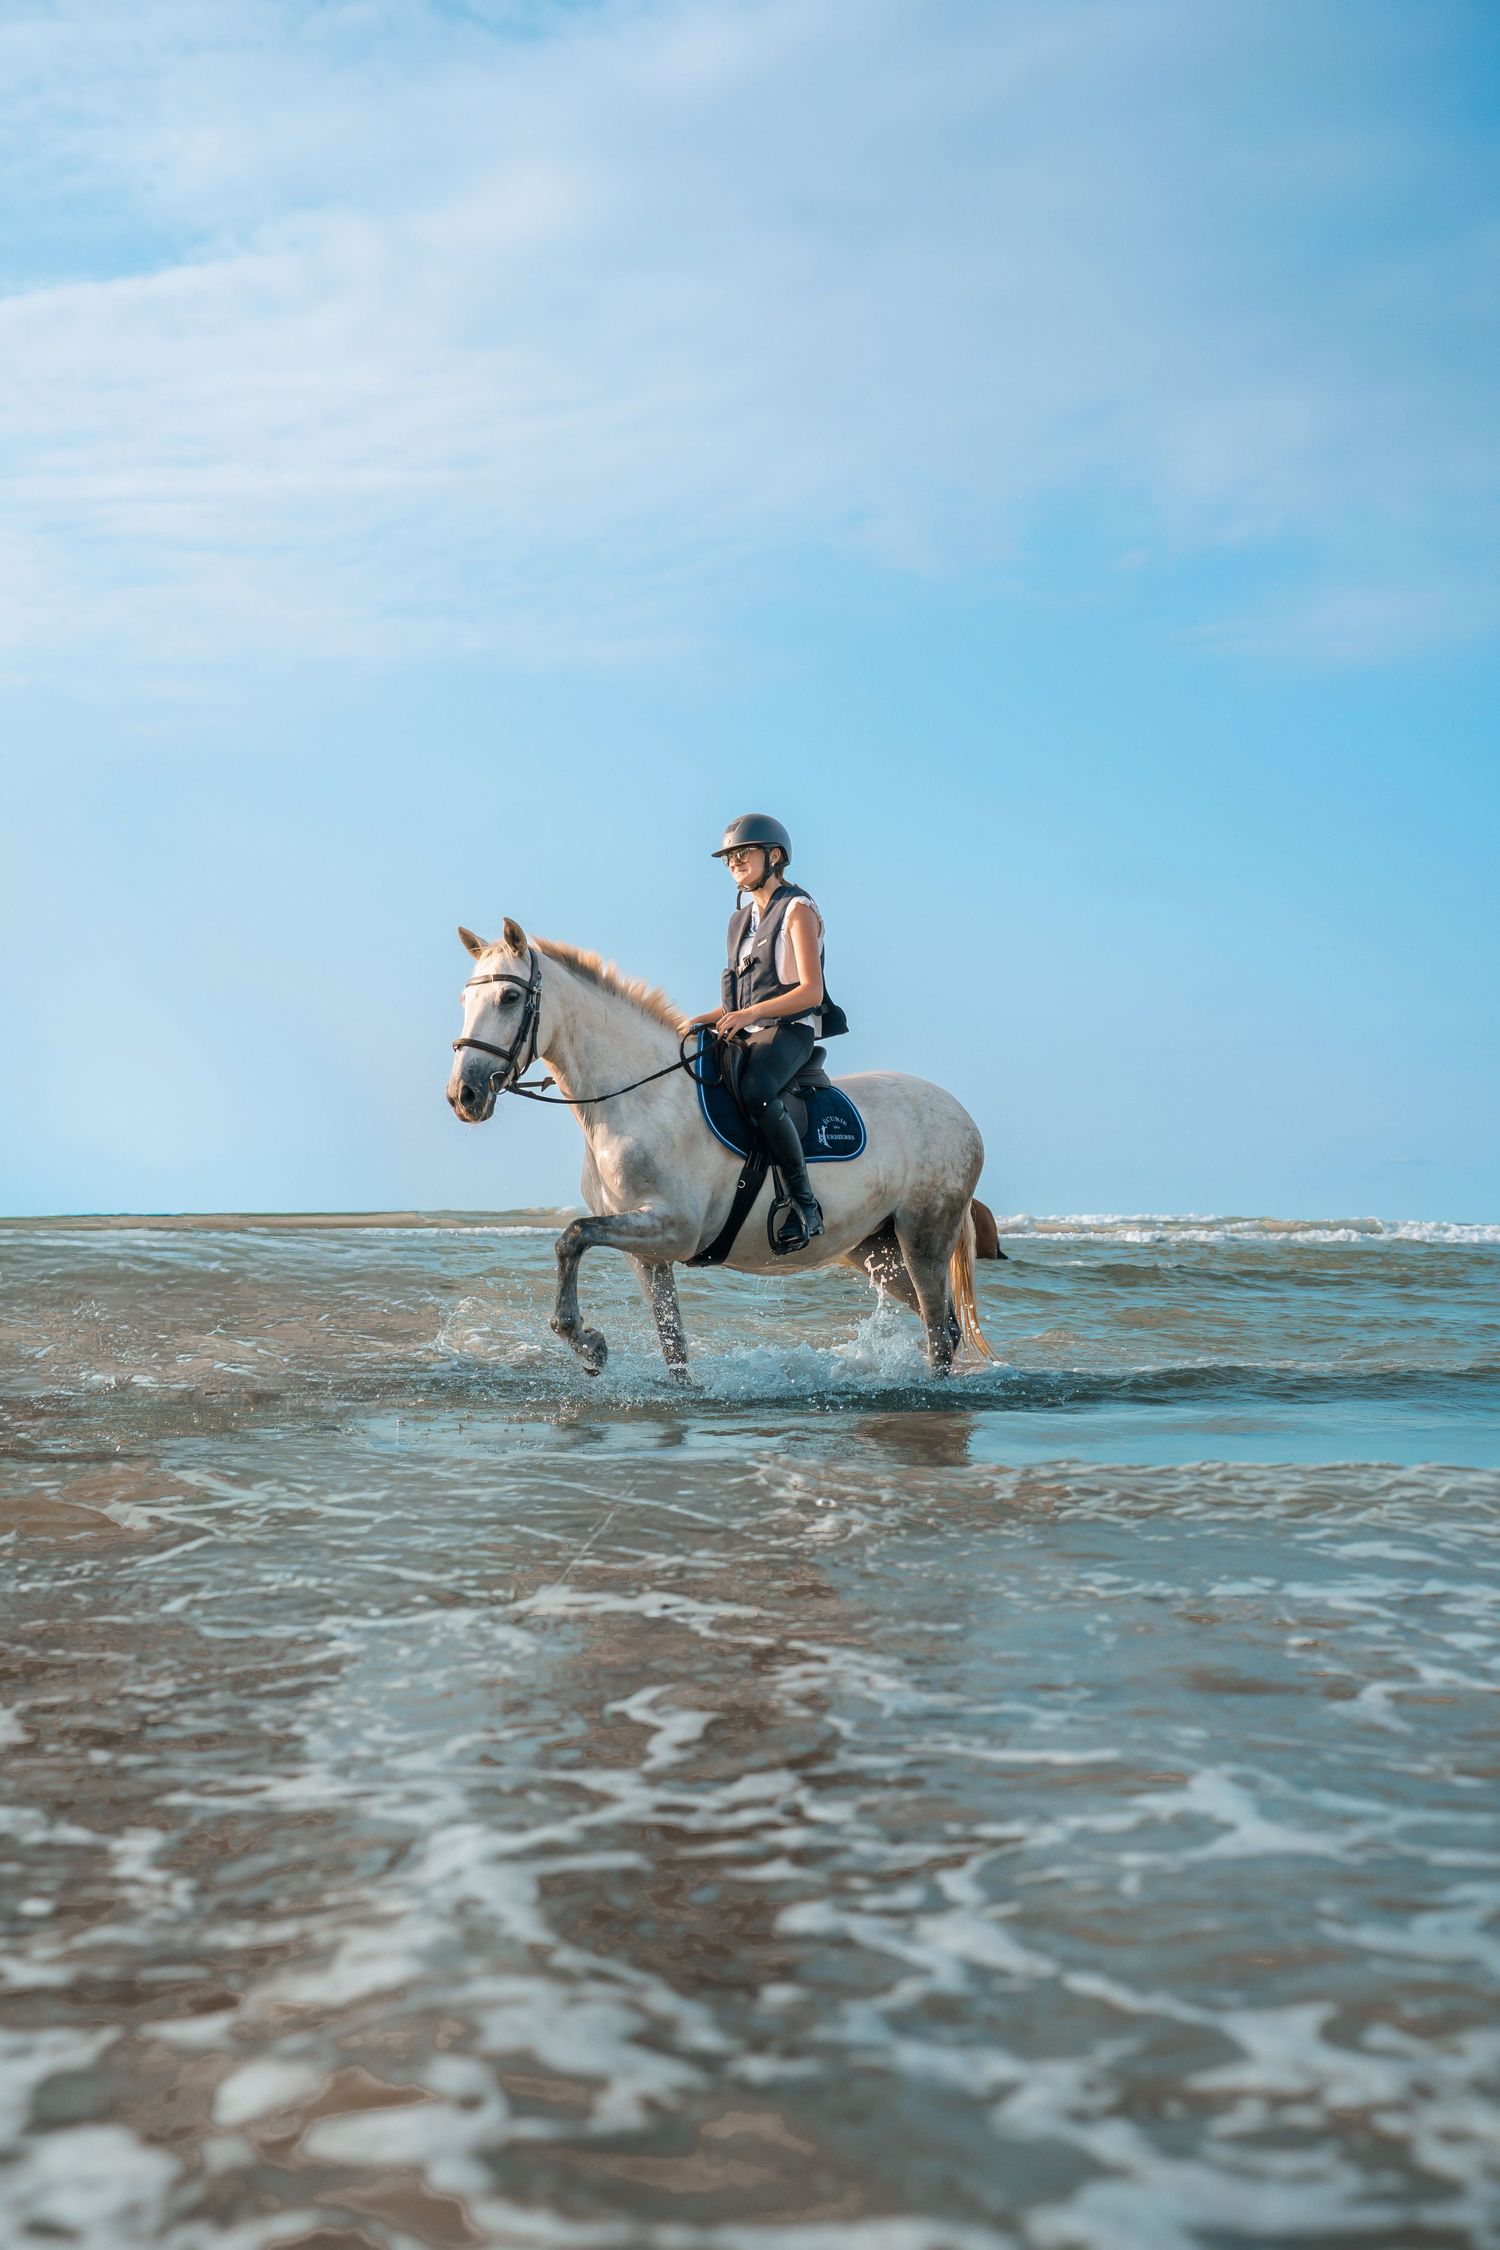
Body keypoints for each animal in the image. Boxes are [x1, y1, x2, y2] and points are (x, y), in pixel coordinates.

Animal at [445, 919, 996, 1378]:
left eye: (509, 998)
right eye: (465, 1002)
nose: (463, 1095)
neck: (638, 1098)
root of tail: (962, 1115)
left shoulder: (674, 1228)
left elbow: (572, 1236)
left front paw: (587, 1342)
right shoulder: (647, 1253)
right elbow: (672, 1343)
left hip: (924, 1234)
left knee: (938, 1330)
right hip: (876, 1248)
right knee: (944, 1325)